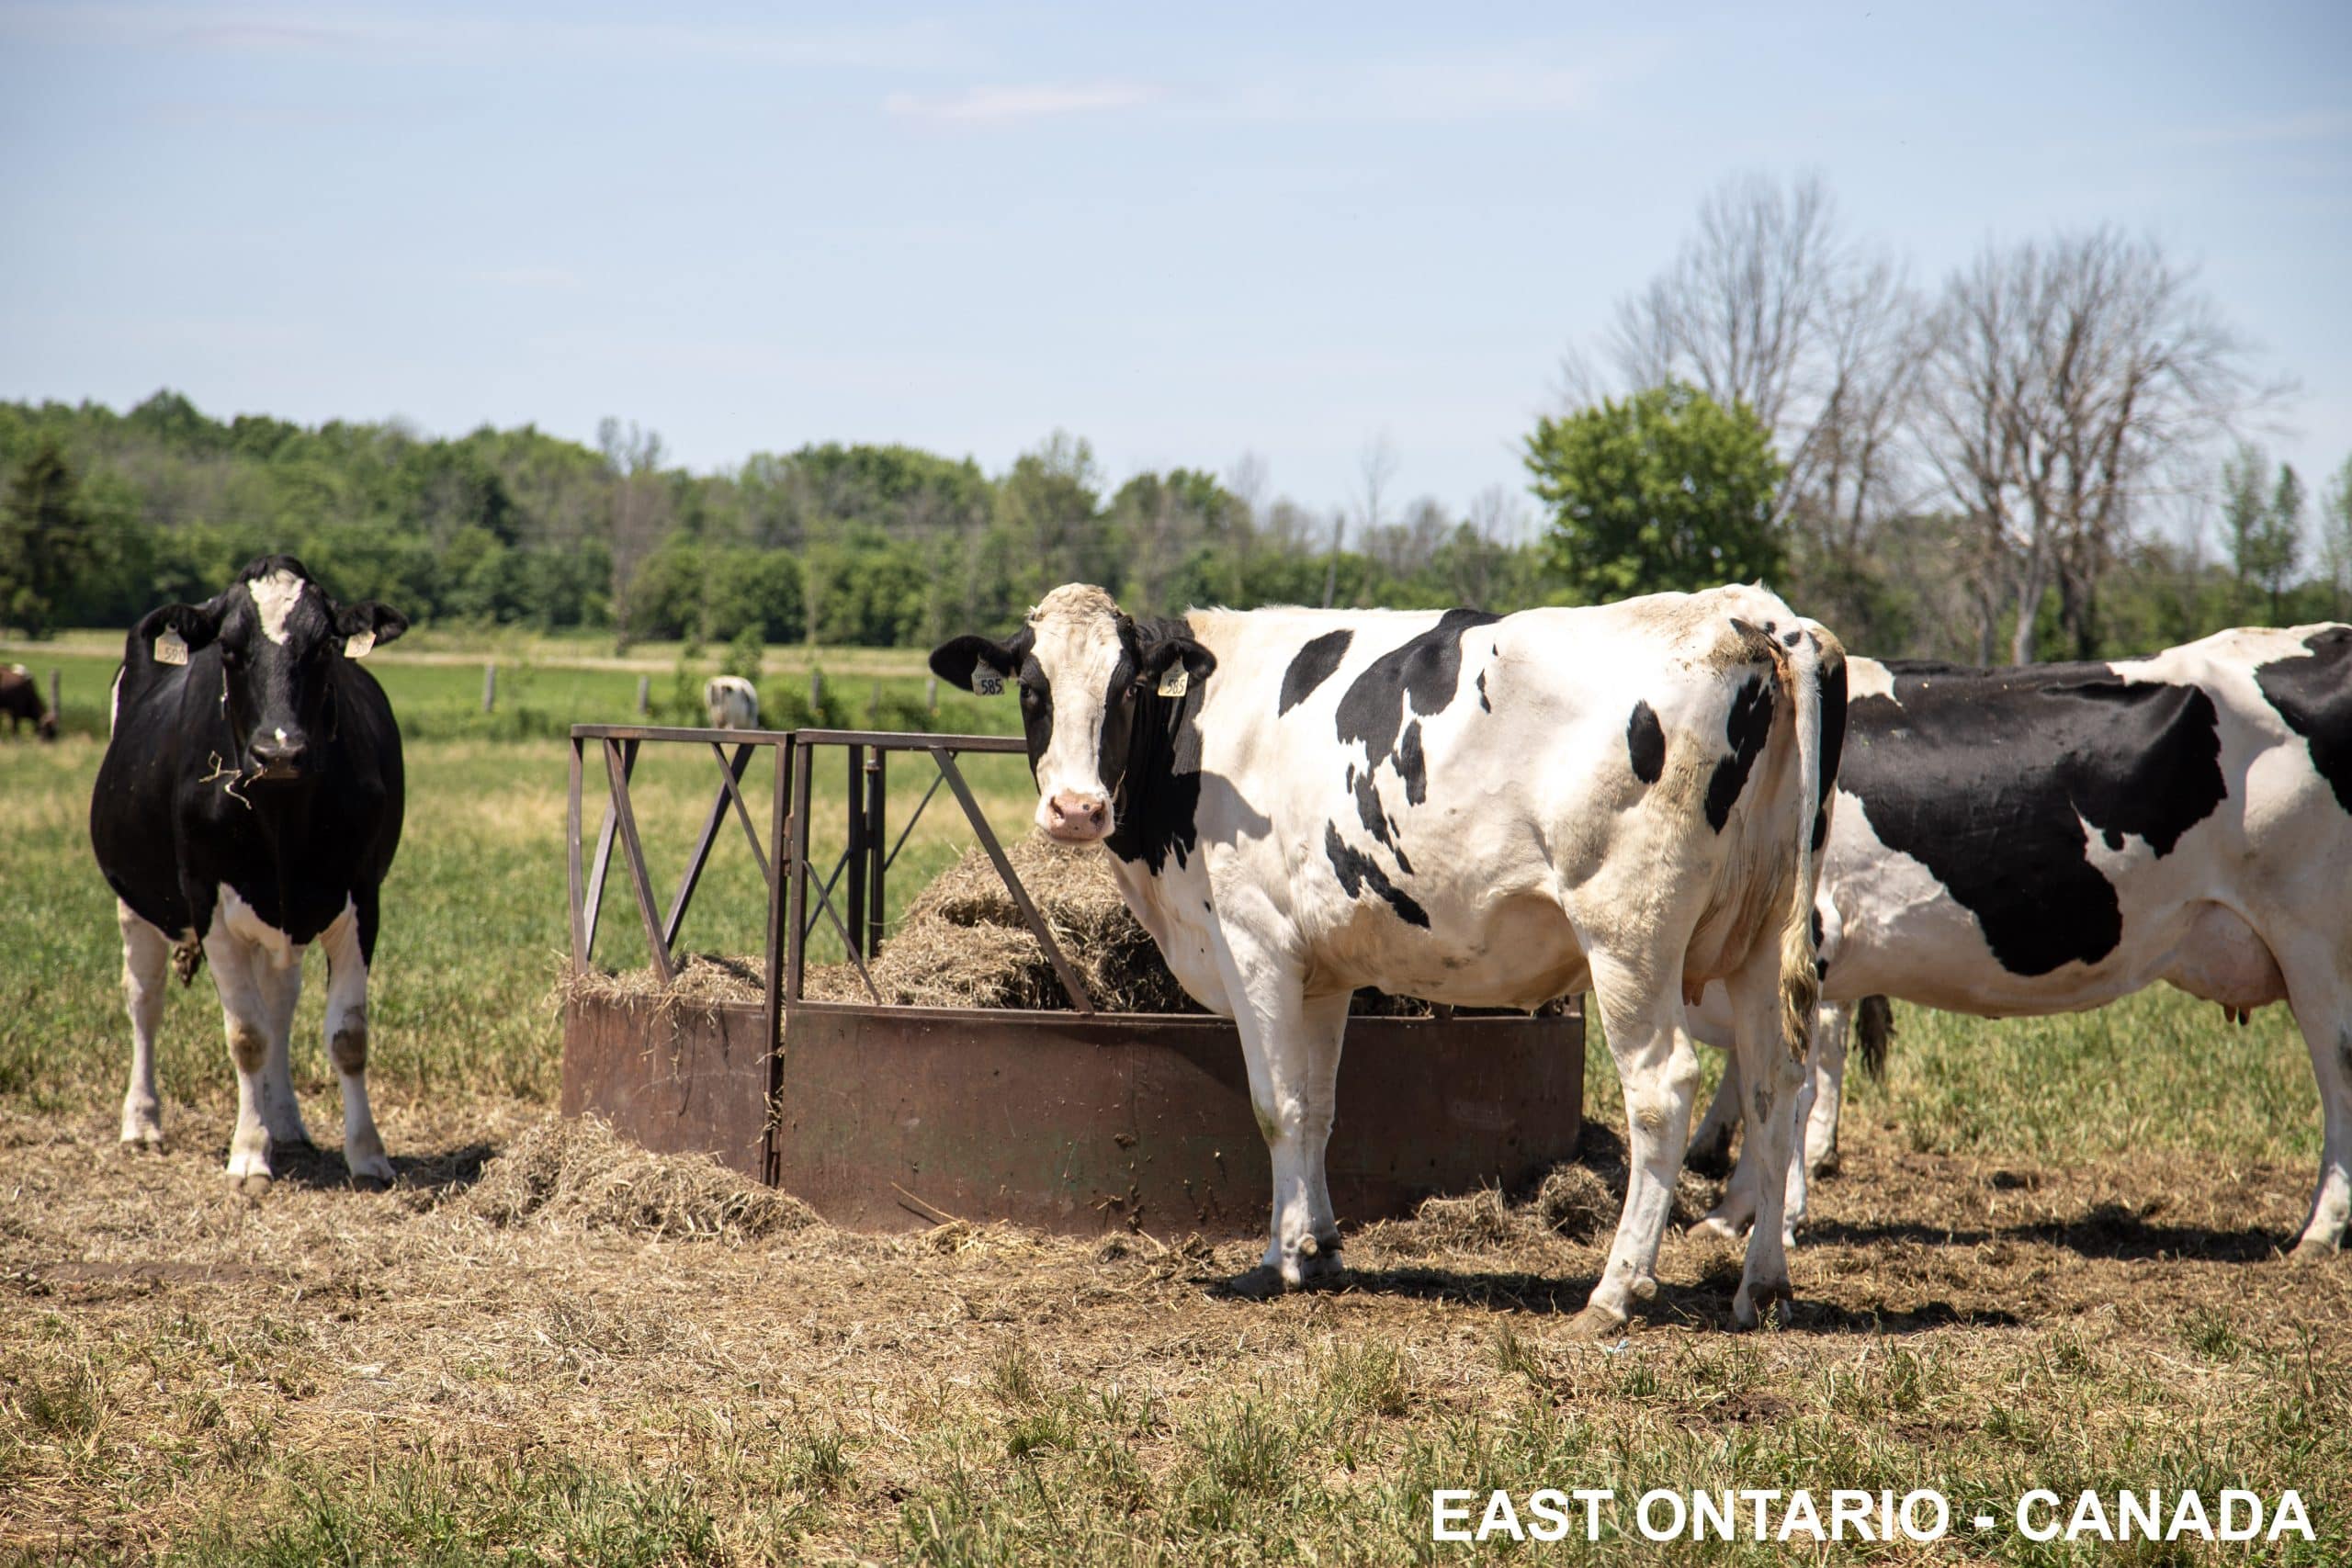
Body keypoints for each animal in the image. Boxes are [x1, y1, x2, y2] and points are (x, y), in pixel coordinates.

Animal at [90, 556, 408, 1192]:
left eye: (325, 646)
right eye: (231, 650)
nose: (278, 752)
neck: (281, 818)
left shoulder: (361, 901)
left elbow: (347, 1036)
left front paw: (366, 1154)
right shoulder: (209, 906)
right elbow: (247, 1036)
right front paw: (248, 1154)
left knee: (280, 1002)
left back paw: (282, 1119)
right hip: (135, 904)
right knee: (145, 999)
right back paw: (143, 1122)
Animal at [932, 583, 1844, 1332]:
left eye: (1124, 688)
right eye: (1033, 689)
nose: (1077, 808)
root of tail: (1755, 615)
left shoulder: (1255, 944)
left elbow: (1274, 1104)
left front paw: (1277, 1261)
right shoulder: (1323, 970)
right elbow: (1318, 1105)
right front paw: (1323, 1247)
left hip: (1630, 935)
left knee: (1663, 1090)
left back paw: (1614, 1293)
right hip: (1760, 938)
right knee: (1774, 1084)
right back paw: (1762, 1286)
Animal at [1690, 628, 2352, 1259]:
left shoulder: (1812, 943)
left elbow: (1789, 1087)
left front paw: (1771, 1218)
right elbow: (1758, 1078)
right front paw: (1731, 1212)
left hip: (2314, 941)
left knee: (2338, 1067)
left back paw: (2320, 1230)